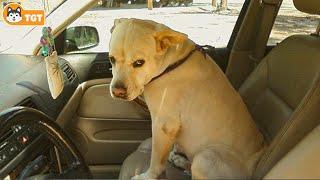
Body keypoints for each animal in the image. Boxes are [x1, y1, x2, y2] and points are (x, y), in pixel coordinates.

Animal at [109, 17, 264, 179]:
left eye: (139, 62)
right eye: (112, 59)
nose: (117, 91)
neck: (171, 64)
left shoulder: (163, 125)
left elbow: (156, 160)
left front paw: (148, 176)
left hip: (204, 159)